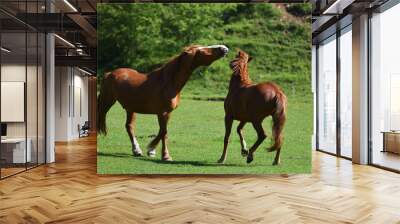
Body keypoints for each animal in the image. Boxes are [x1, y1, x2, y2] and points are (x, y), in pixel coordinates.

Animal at [97, 44, 228, 161]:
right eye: (201, 50)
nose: (224, 48)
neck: (168, 82)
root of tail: (109, 73)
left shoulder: (167, 113)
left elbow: (162, 132)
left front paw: (152, 150)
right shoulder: (162, 113)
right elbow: (164, 132)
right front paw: (165, 156)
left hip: (130, 108)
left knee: (129, 126)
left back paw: (137, 150)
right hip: (107, 102)